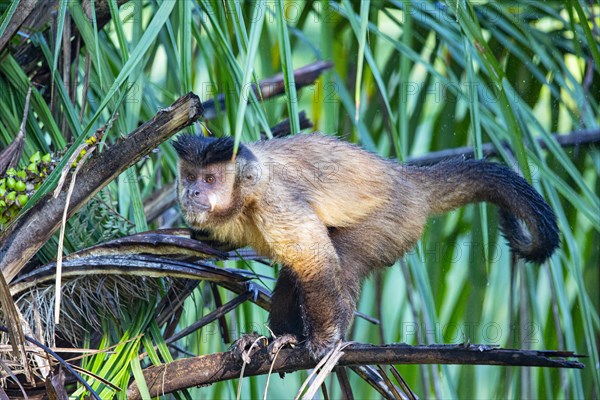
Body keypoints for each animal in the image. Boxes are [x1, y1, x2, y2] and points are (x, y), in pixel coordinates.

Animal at [171, 133, 560, 358]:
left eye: (210, 179)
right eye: (190, 177)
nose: (193, 192)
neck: (244, 196)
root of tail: (407, 178)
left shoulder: (274, 200)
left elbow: (315, 260)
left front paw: (324, 342)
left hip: (395, 219)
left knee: (341, 258)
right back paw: (274, 338)